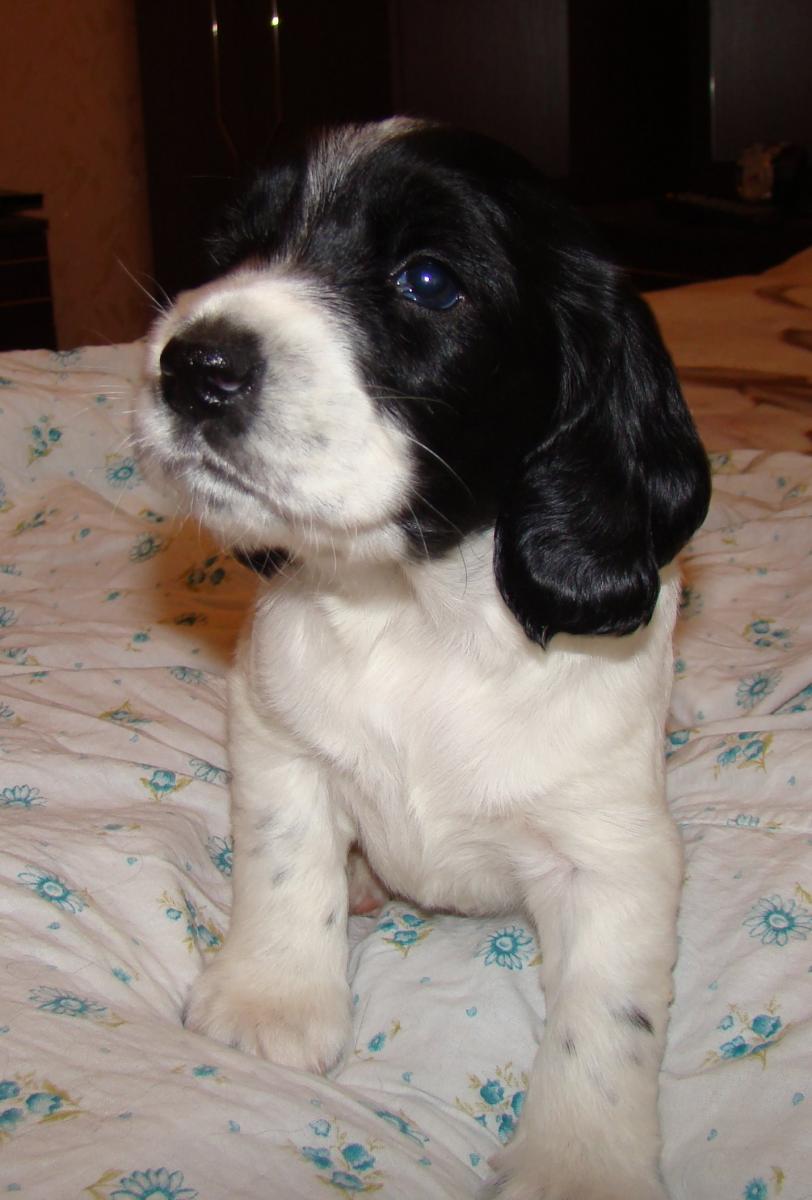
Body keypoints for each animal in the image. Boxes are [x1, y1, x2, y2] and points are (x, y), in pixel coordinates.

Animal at [134, 118, 711, 1199]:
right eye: (234, 247)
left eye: (429, 281)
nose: (193, 364)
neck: (419, 614)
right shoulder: (273, 733)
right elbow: (284, 862)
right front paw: (273, 995)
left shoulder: (616, 855)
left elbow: (606, 1021)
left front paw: (579, 1162)